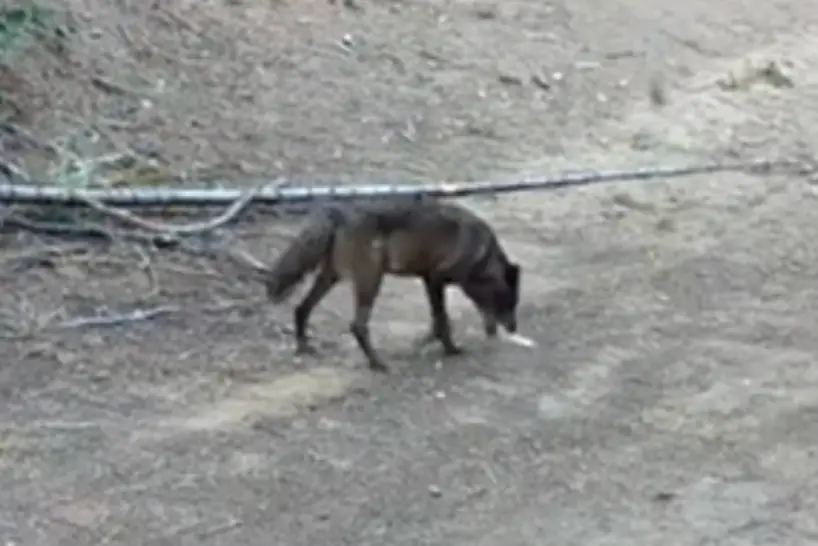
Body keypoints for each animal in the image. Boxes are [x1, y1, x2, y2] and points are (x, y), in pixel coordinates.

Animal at [265, 197, 521, 373]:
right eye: (509, 301)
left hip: (331, 277)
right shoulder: (436, 280)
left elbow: (438, 319)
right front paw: (450, 350)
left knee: (301, 308)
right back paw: (376, 363)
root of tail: (338, 212)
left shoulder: (428, 280)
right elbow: (442, 319)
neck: (481, 254)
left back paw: (303, 347)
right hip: (370, 282)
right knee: (357, 326)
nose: (513, 329)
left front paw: (427, 341)